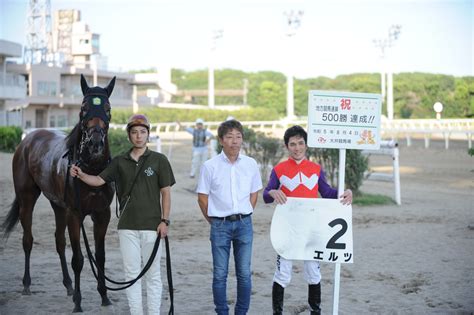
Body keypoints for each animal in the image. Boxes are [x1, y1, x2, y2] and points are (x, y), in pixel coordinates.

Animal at [2, 74, 115, 314]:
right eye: (83, 107)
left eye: (108, 108)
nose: (95, 143)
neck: (91, 170)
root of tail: (29, 138)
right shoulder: (75, 214)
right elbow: (79, 259)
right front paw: (79, 303)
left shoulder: (102, 214)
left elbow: (100, 257)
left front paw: (104, 296)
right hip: (27, 199)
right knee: (28, 239)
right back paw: (27, 284)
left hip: (58, 205)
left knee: (59, 242)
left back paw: (69, 285)